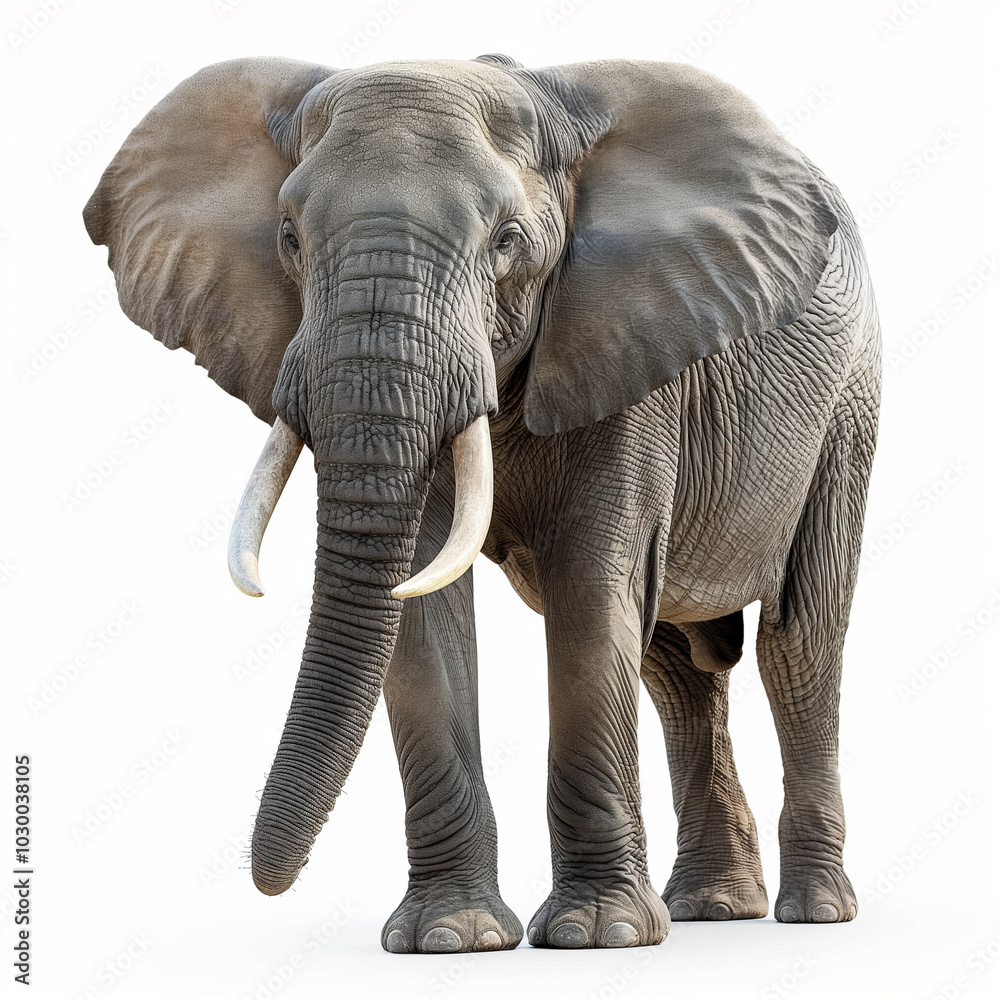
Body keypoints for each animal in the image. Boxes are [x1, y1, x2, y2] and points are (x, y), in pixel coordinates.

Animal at [83, 54, 880, 954]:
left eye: (507, 243)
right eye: (288, 237)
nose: (266, 882)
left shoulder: (631, 350)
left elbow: (590, 590)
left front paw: (595, 935)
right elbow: (420, 607)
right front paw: (450, 936)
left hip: (846, 408)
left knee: (799, 641)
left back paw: (814, 912)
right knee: (677, 667)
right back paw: (712, 908)